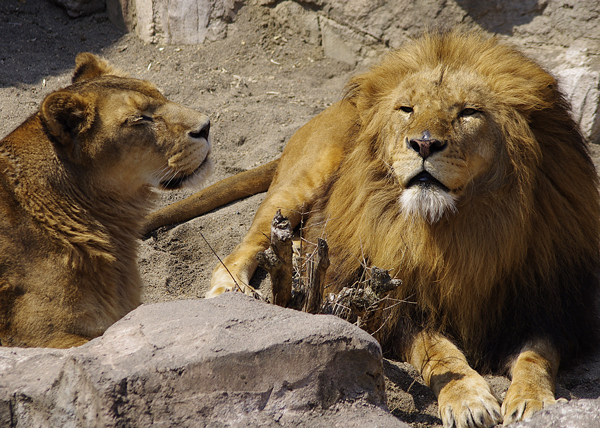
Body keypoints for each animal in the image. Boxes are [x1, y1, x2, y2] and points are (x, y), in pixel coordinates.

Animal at [203, 30, 600, 428]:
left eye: (468, 112)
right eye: (407, 109)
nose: (423, 143)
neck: (462, 228)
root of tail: (335, 107)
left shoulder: (552, 304)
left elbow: (537, 356)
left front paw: (535, 402)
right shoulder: (394, 306)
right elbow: (438, 353)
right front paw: (468, 400)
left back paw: (302, 253)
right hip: (301, 182)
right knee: (248, 242)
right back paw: (232, 287)